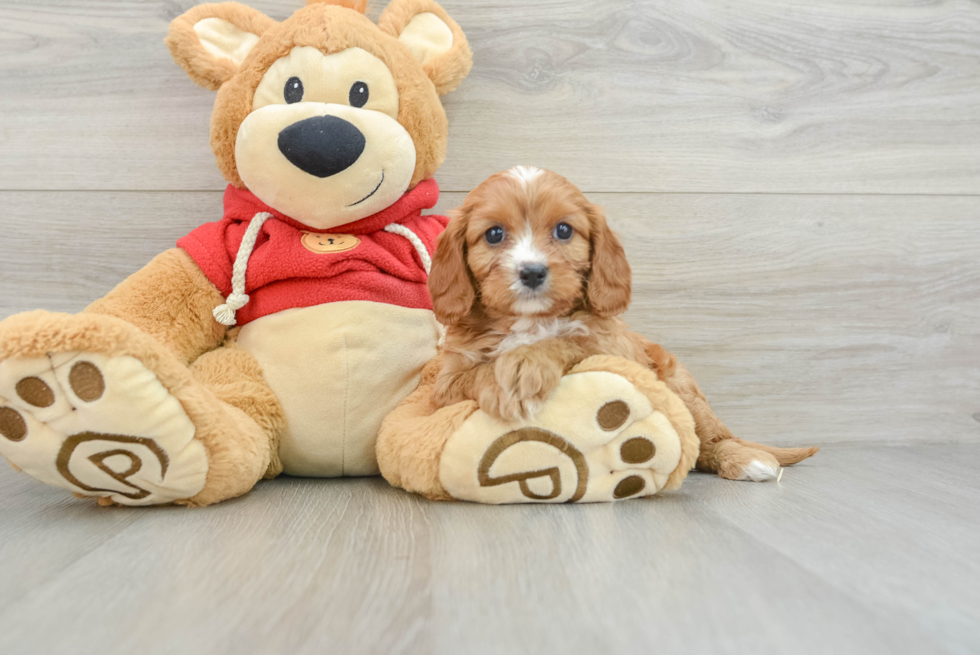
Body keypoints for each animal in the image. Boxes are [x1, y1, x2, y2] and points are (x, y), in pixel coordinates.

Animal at [428, 164, 820, 482]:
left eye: (564, 230)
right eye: (494, 234)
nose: (533, 272)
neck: (530, 321)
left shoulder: (613, 351)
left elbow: (570, 341)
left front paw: (524, 365)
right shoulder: (445, 388)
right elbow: (474, 374)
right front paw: (504, 380)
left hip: (680, 387)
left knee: (707, 441)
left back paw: (747, 461)